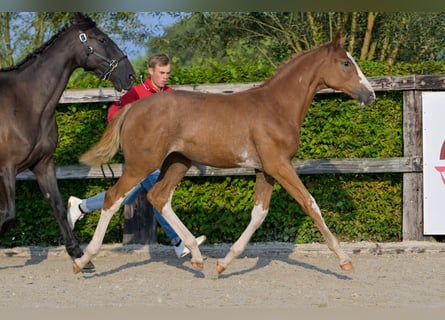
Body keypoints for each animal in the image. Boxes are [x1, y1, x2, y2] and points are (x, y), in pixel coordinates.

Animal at [0, 12, 135, 262]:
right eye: (101, 39)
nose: (129, 75)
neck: (25, 103)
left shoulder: (42, 164)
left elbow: (58, 207)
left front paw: (77, 253)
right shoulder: (6, 168)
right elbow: (8, 216)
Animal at [74, 31, 372, 274]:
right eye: (346, 63)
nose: (369, 95)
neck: (276, 106)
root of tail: (132, 107)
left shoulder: (265, 169)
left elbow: (259, 214)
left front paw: (224, 263)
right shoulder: (279, 165)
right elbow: (310, 203)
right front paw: (345, 260)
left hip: (177, 162)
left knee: (158, 197)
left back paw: (196, 254)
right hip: (142, 164)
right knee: (113, 198)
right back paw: (83, 259)